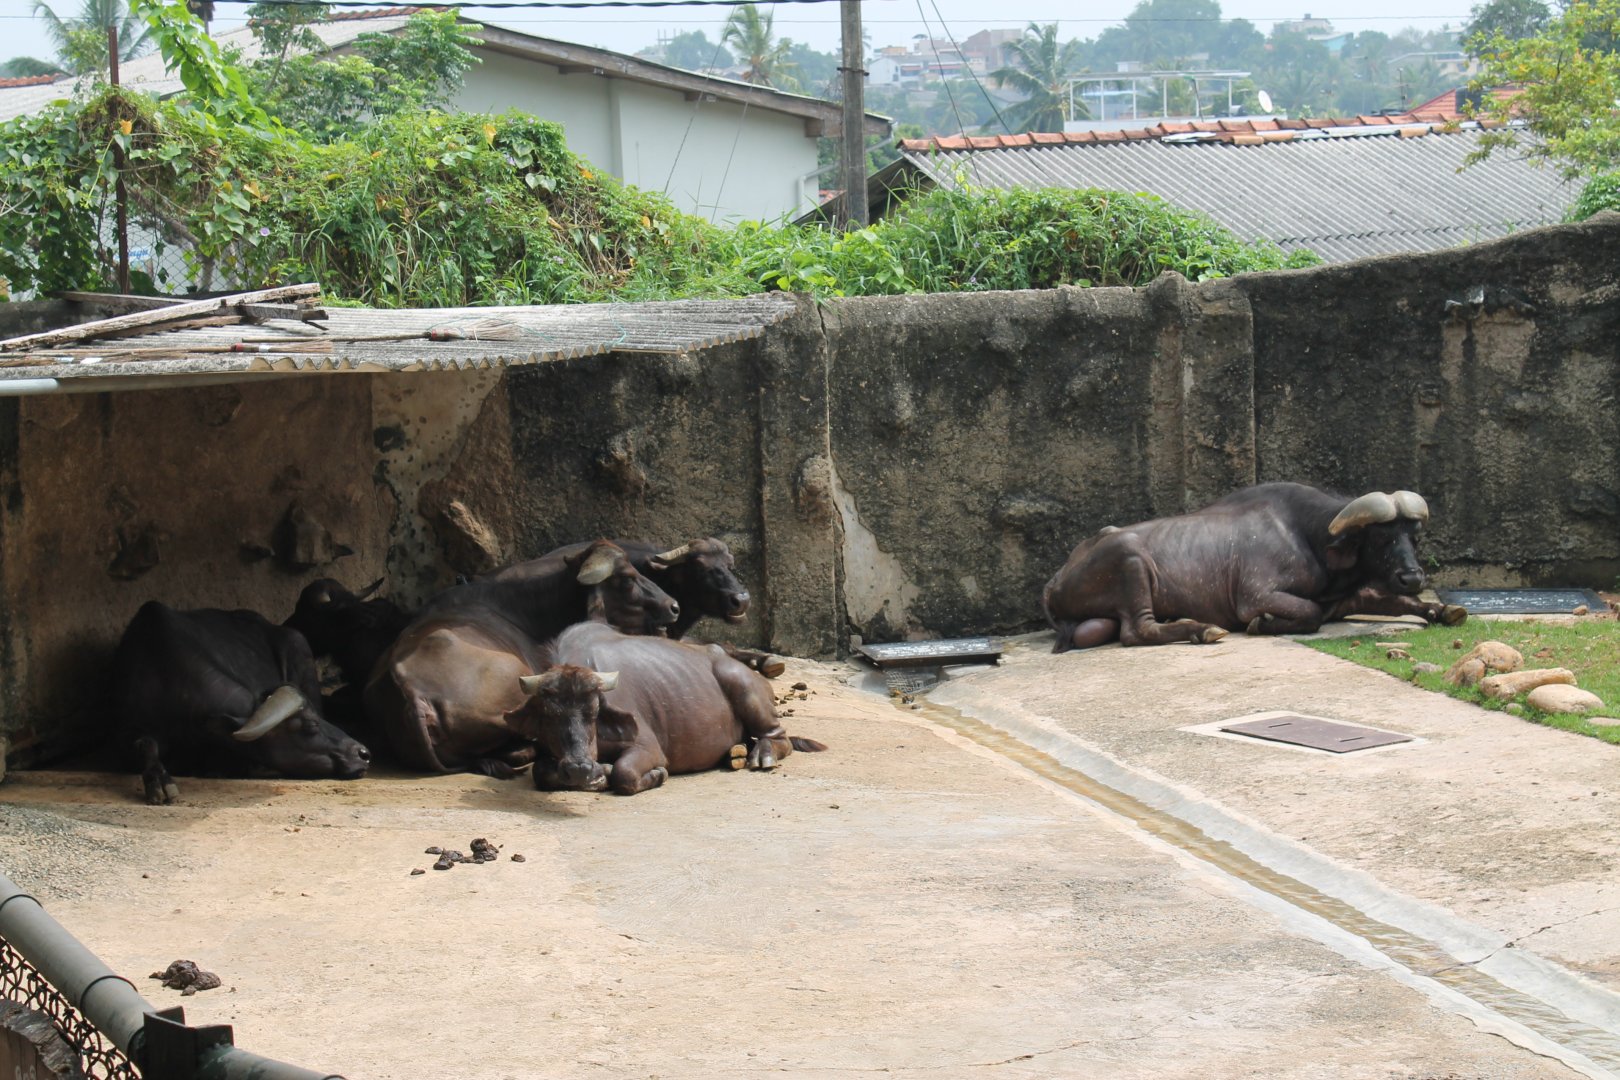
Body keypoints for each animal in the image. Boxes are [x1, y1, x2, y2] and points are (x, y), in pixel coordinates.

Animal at [508, 620, 826, 796]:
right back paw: (734, 754)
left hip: (744, 686)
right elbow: (540, 772)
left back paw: (761, 755)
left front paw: (654, 775)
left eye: (594, 712)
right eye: (549, 715)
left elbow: (624, 773)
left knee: (779, 737)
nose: (578, 768)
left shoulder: (648, 747)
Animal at [1042, 483, 1467, 652]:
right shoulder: (1256, 595)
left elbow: (1399, 603)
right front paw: (1264, 624)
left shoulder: (1349, 596)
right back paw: (1201, 629)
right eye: (1380, 539)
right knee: (1137, 630)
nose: (1412, 576)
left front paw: (1445, 609)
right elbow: (1309, 614)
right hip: (1130, 557)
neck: (1307, 534)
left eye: (1413, 537)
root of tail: (1054, 582)